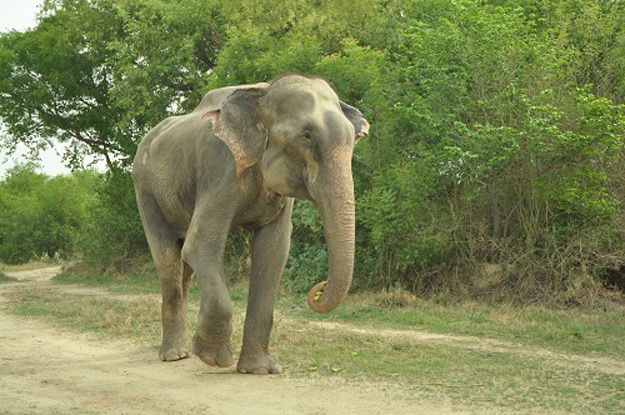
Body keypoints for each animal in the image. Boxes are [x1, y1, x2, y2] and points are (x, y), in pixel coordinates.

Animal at [132, 73, 366, 376]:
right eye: (306, 136)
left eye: (353, 139)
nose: (319, 288)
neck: (262, 93)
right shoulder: (220, 166)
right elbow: (200, 244)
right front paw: (213, 358)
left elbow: (273, 252)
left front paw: (260, 370)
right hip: (145, 189)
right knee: (169, 259)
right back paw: (174, 355)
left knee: (183, 266)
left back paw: (181, 352)